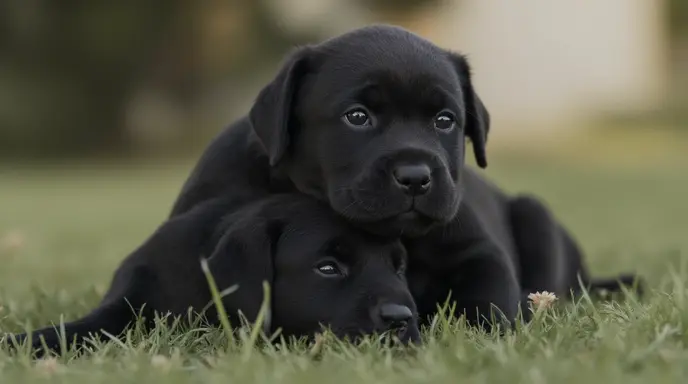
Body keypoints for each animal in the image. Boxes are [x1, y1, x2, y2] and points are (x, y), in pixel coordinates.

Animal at [6, 196, 420, 356]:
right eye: (328, 267)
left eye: (398, 267)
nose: (402, 319)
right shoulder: (130, 295)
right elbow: (82, 328)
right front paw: (20, 343)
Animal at [160, 24, 640, 330]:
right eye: (357, 117)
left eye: (445, 120)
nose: (415, 176)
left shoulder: (478, 250)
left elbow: (490, 300)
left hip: (534, 215)